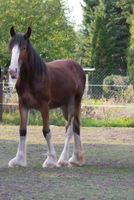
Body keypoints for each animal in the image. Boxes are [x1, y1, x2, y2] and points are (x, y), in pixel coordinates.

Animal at [7, 26, 85, 167]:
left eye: (24, 48)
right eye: (11, 47)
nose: (12, 71)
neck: (33, 78)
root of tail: (79, 68)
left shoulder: (44, 107)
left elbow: (46, 131)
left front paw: (50, 160)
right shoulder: (23, 105)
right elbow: (22, 130)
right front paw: (19, 159)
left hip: (74, 103)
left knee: (69, 128)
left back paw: (63, 159)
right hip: (65, 107)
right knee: (76, 126)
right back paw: (76, 159)